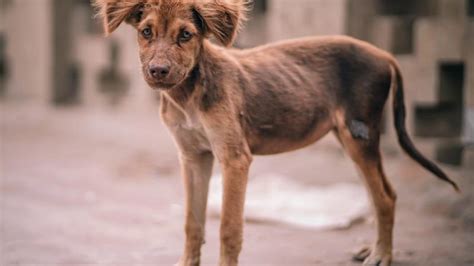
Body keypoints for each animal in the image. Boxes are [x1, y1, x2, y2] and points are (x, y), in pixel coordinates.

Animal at [92, 1, 460, 264]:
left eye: (185, 35)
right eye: (146, 32)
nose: (158, 71)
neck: (189, 95)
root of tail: (384, 54)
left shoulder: (235, 158)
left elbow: (229, 228)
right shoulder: (193, 157)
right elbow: (192, 224)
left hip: (361, 134)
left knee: (385, 196)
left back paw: (382, 255)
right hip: (350, 138)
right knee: (379, 192)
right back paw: (373, 248)